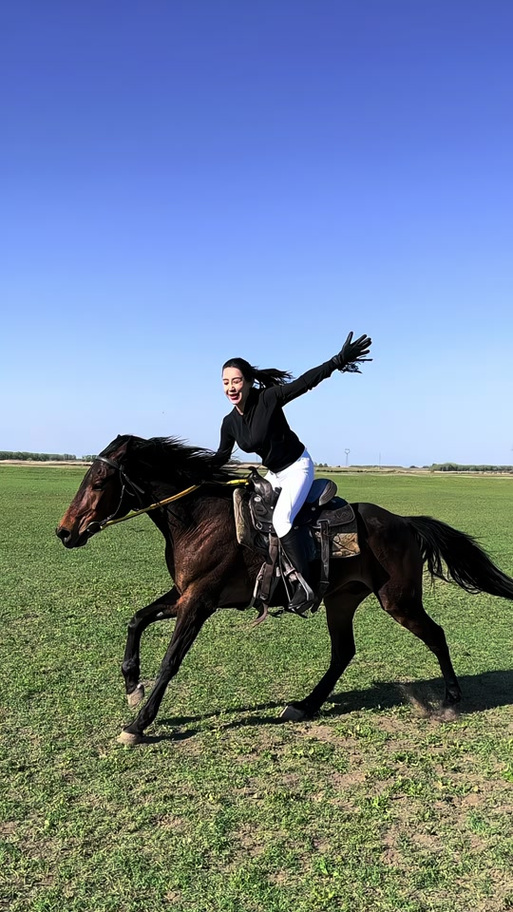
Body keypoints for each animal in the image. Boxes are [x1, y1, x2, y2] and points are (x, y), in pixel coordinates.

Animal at [56, 434, 513, 744]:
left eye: (99, 482)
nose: (64, 532)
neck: (199, 518)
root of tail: (404, 521)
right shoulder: (183, 594)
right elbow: (136, 620)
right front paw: (132, 687)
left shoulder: (199, 601)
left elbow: (170, 661)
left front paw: (139, 723)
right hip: (341, 600)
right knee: (343, 652)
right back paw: (306, 705)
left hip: (399, 601)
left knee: (435, 634)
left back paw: (451, 698)